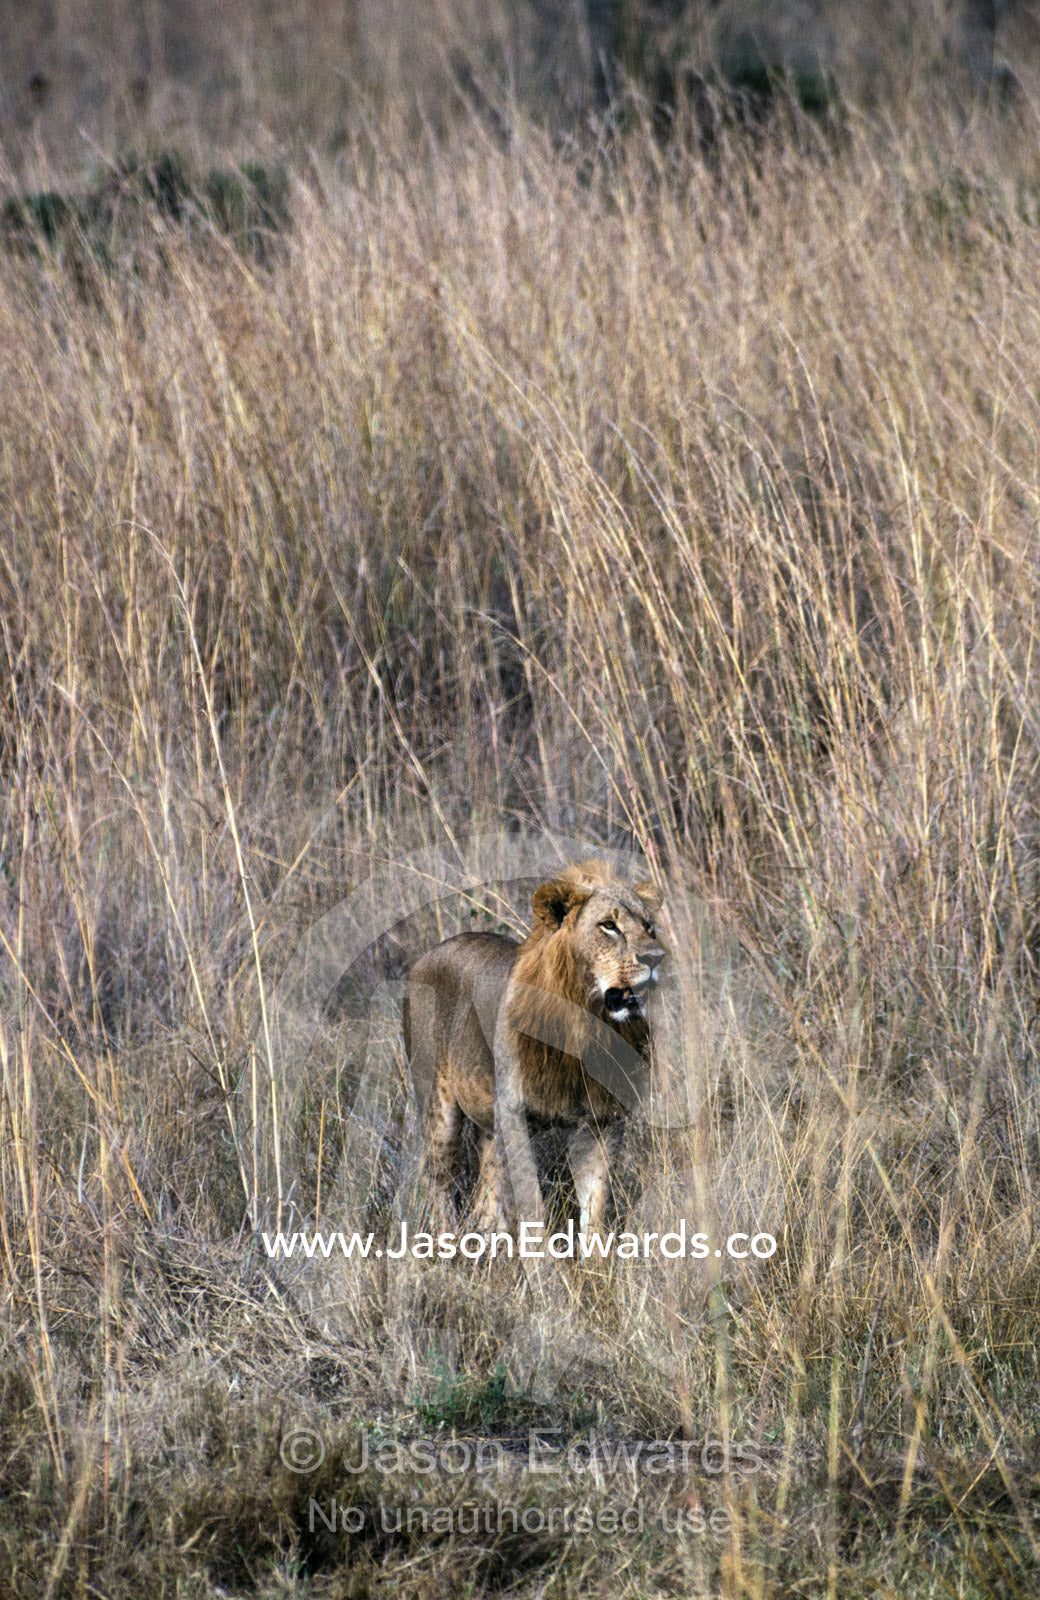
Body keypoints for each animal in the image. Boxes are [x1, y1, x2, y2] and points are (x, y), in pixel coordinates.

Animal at [403, 861, 665, 1246]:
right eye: (609, 925)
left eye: (649, 927)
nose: (656, 958)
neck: (586, 1025)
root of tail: (430, 953)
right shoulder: (515, 1118)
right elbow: (531, 1207)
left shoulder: (599, 1123)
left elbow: (594, 1209)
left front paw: (593, 1261)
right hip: (439, 1107)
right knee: (440, 1182)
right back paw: (446, 1246)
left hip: (488, 1118)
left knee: (487, 1183)